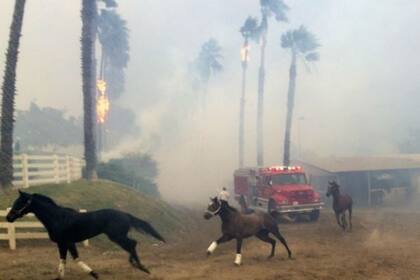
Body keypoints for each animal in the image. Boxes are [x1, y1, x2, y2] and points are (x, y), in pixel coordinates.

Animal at [6, 191, 164, 278]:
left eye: (19, 202)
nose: (8, 217)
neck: (57, 218)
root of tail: (125, 214)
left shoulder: (68, 242)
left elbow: (76, 259)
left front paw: (94, 274)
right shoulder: (62, 244)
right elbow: (62, 262)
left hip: (116, 236)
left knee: (132, 244)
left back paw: (141, 267)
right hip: (117, 236)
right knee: (132, 244)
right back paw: (138, 266)